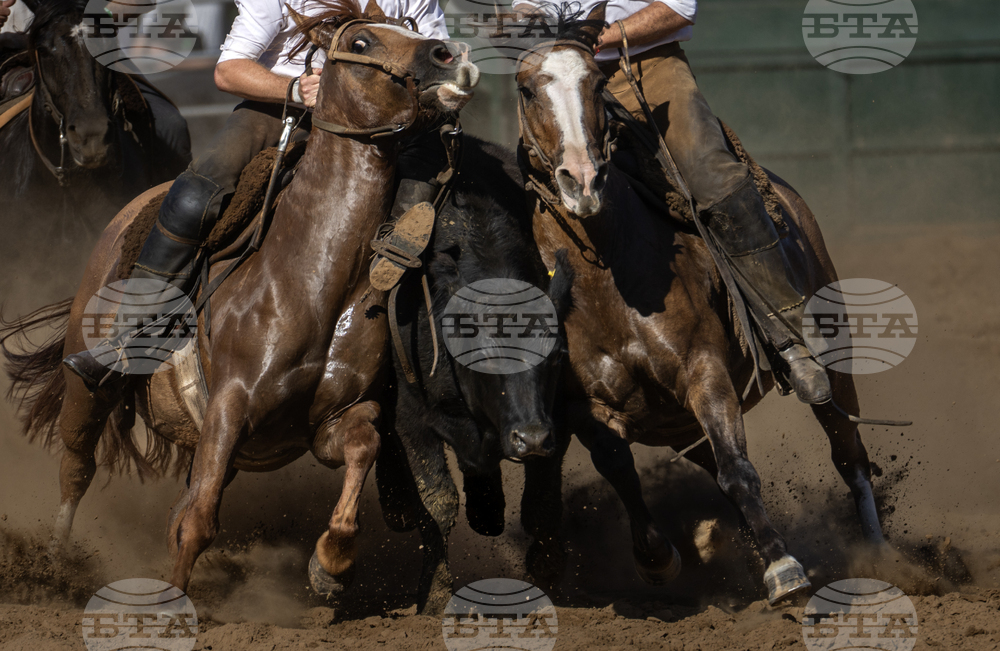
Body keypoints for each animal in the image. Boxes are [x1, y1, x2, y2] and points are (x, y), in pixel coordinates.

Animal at [1, 0, 480, 597]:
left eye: (414, 28)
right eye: (362, 42)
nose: (450, 54)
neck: (312, 279)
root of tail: (124, 214)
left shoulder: (334, 420)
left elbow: (360, 449)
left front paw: (329, 564)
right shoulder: (228, 406)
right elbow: (197, 522)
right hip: (86, 383)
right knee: (77, 463)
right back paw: (54, 565)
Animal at [374, 136, 574, 613]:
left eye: (556, 355)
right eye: (484, 354)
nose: (530, 438)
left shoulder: (557, 416)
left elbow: (541, 502)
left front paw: (546, 568)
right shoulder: (411, 419)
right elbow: (438, 503)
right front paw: (434, 594)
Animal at [514, 6, 889, 604]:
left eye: (595, 83)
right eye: (527, 89)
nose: (582, 180)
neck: (608, 269)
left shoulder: (704, 370)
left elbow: (740, 471)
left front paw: (785, 569)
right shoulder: (584, 405)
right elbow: (622, 471)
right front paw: (658, 559)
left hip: (833, 352)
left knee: (847, 451)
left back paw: (875, 558)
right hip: (679, 429)